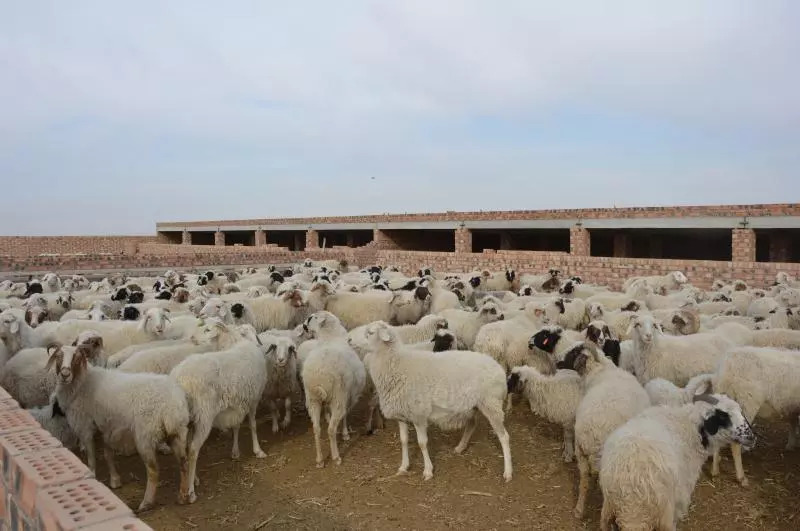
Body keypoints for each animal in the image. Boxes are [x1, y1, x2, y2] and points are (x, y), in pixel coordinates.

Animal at [47, 342, 191, 512]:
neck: (83, 383)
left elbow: (91, 454)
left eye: (77, 357)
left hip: (145, 436)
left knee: (153, 470)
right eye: (58, 356)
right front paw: (115, 480)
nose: (65, 374)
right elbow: (108, 454)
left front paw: (92, 473)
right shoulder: (108, 426)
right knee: (184, 462)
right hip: (178, 433)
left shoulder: (86, 424)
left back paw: (146, 502)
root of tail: (172, 405)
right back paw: (183, 496)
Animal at [169, 322, 268, 504]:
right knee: (193, 450)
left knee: (184, 451)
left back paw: (192, 480)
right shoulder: (253, 400)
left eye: (207, 329)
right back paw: (191, 492)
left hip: (186, 420)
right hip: (203, 416)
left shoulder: (237, 403)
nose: (192, 338)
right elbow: (253, 425)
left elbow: (236, 426)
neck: (241, 342)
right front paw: (258, 450)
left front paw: (235, 452)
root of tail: (179, 379)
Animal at [300, 316, 366, 466]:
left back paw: (319, 460)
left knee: (316, 429)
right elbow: (345, 415)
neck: (329, 338)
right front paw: (345, 434)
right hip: (337, 397)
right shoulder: (347, 396)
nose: (303, 326)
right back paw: (336, 457)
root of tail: (319, 377)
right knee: (330, 429)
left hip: (312, 399)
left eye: (310, 318)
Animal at [560, 340, 652, 520]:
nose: (557, 361)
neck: (600, 371)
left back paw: (579, 509)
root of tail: (590, 436)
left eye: (574, 352)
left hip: (581, 455)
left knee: (584, 482)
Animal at [600, 392, 756, 528]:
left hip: (608, 513)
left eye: (741, 412)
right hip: (665, 512)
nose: (752, 437)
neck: (691, 427)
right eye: (723, 416)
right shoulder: (681, 495)